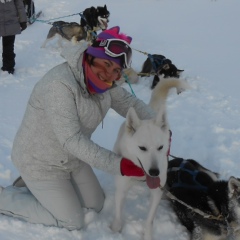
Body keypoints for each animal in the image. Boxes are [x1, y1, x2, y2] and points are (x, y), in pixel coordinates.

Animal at [109, 78, 190, 239]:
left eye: (160, 147)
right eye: (142, 148)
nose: (154, 172)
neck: (140, 175)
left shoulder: (156, 192)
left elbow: (149, 220)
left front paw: (147, 235)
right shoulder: (121, 190)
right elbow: (118, 216)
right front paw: (115, 230)